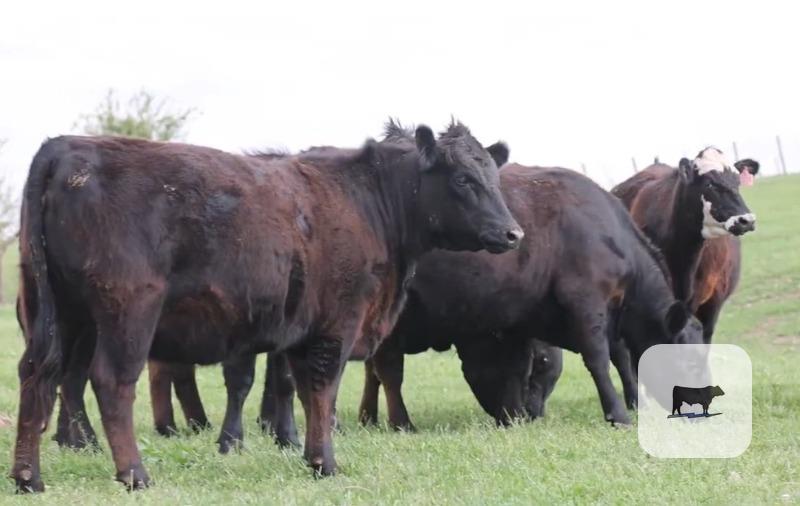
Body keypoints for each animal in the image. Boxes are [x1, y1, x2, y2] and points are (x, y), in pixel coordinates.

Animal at [12, 120, 522, 492]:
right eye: (463, 179)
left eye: (492, 176)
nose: (513, 232)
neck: (368, 200)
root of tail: (65, 146)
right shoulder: (337, 323)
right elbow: (323, 391)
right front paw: (325, 463)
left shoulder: (297, 331)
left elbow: (296, 391)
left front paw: (302, 451)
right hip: (128, 309)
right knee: (110, 381)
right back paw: (134, 474)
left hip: (58, 311)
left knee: (39, 375)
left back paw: (27, 478)